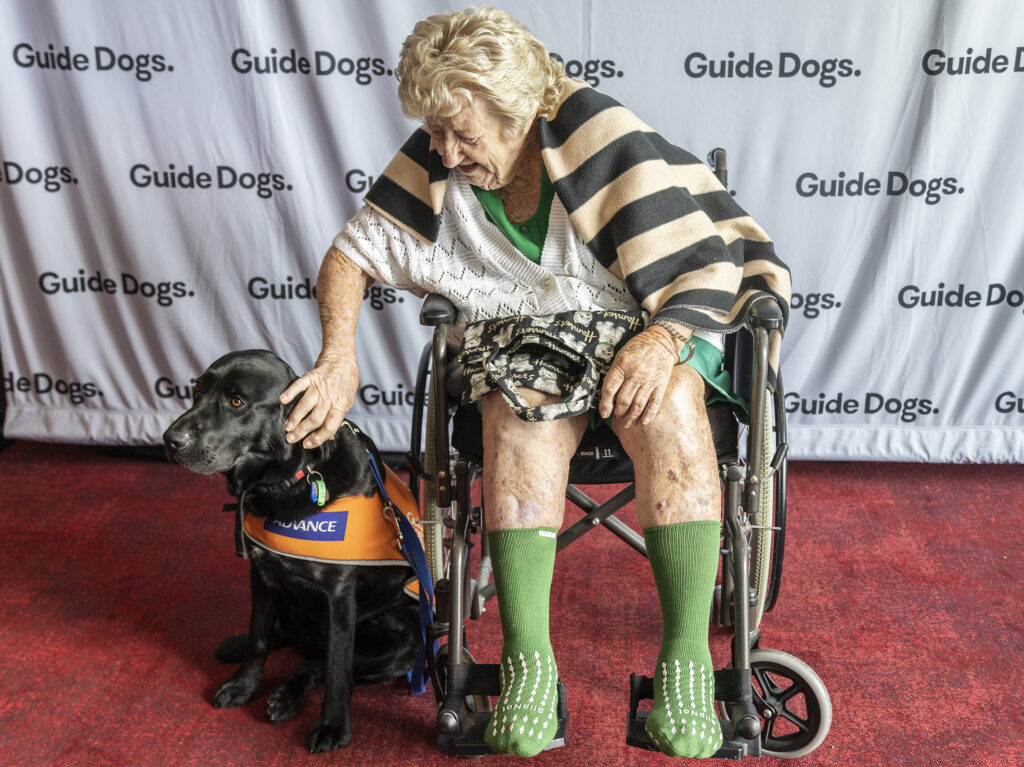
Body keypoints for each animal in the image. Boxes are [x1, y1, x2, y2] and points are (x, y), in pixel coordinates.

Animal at [161, 348, 417, 753]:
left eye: (237, 402)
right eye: (197, 391)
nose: (170, 440)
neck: (280, 485)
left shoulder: (339, 597)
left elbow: (337, 667)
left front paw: (333, 724)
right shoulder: (262, 575)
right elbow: (259, 635)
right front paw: (243, 684)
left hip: (398, 640)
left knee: (318, 661)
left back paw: (287, 696)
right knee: (292, 637)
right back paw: (241, 650)